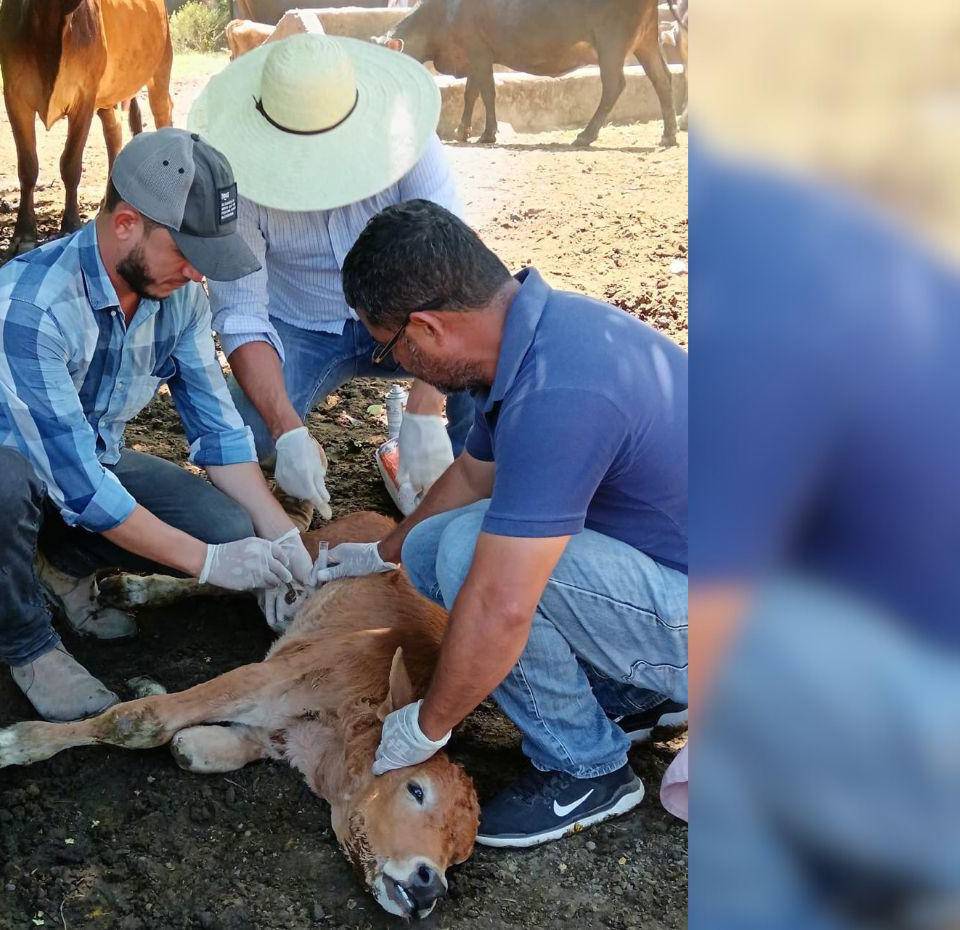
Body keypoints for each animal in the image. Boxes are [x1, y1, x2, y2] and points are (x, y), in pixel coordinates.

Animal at [0, 0, 174, 254]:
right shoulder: (15, 95)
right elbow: (27, 167)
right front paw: (23, 234)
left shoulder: (85, 97)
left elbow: (70, 165)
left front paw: (71, 225)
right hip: (109, 96)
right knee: (114, 132)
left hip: (160, 71)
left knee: (164, 114)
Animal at [0, 512, 480, 916]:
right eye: (416, 789)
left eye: (459, 855)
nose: (430, 886)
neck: (333, 731)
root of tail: (385, 520)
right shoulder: (268, 675)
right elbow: (140, 721)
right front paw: (17, 743)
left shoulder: (275, 733)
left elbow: (186, 746)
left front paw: (154, 694)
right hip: (310, 550)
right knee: (239, 573)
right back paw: (133, 586)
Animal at [374, 0, 676, 147]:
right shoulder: (474, 56)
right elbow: (472, 93)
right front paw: (462, 131)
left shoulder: (479, 50)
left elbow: (487, 91)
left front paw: (488, 133)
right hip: (646, 40)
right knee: (662, 78)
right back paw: (669, 134)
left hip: (610, 42)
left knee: (614, 85)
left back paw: (586, 135)